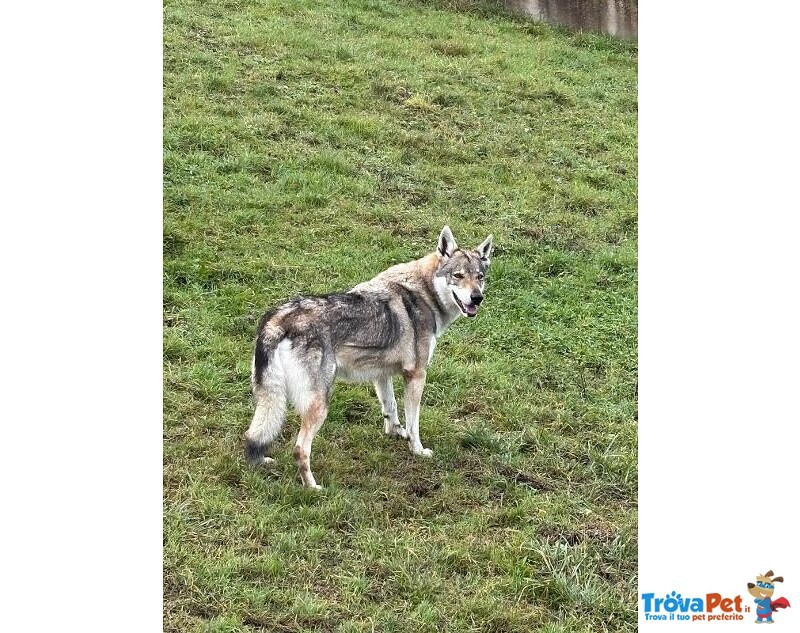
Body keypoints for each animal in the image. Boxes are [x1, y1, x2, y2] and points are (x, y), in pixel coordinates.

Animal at [245, 225, 493, 488]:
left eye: (480, 277)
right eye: (458, 276)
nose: (477, 298)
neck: (424, 294)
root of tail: (278, 318)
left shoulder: (382, 374)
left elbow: (391, 408)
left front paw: (396, 433)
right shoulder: (416, 375)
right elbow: (414, 422)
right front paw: (417, 450)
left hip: (272, 401)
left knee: (252, 435)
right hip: (319, 405)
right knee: (300, 449)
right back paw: (313, 488)